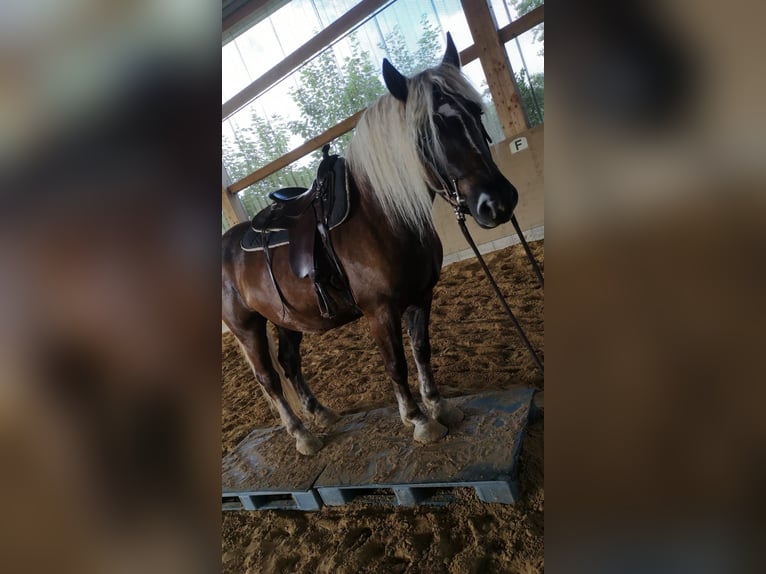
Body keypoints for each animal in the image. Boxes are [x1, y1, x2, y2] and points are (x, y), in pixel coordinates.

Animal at [222, 34, 518, 455]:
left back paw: (322, 415)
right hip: (247, 328)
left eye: (476, 113)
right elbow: (396, 363)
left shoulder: (421, 296)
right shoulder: (379, 311)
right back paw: (302, 434)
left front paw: (439, 406)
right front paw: (418, 421)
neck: (384, 218)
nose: (498, 202)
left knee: (290, 363)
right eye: (427, 133)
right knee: (269, 378)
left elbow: (421, 349)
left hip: (286, 317)